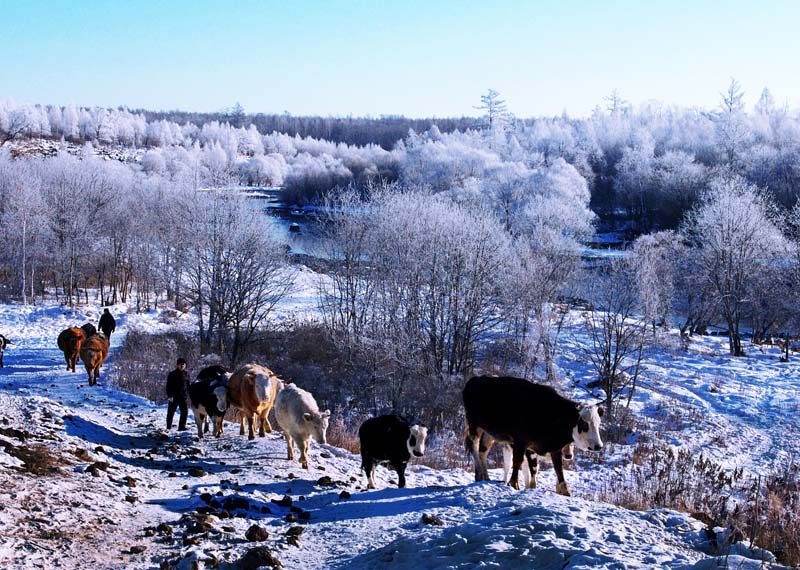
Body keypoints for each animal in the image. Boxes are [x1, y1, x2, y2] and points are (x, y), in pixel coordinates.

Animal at [466, 372, 604, 492]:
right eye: (584, 424)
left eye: (598, 423)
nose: (599, 446)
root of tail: (476, 379)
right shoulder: (522, 443)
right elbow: (520, 463)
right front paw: (514, 484)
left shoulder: (554, 448)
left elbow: (559, 472)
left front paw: (565, 492)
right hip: (474, 425)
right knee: (474, 446)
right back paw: (480, 474)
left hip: (488, 432)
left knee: (483, 451)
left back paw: (484, 477)